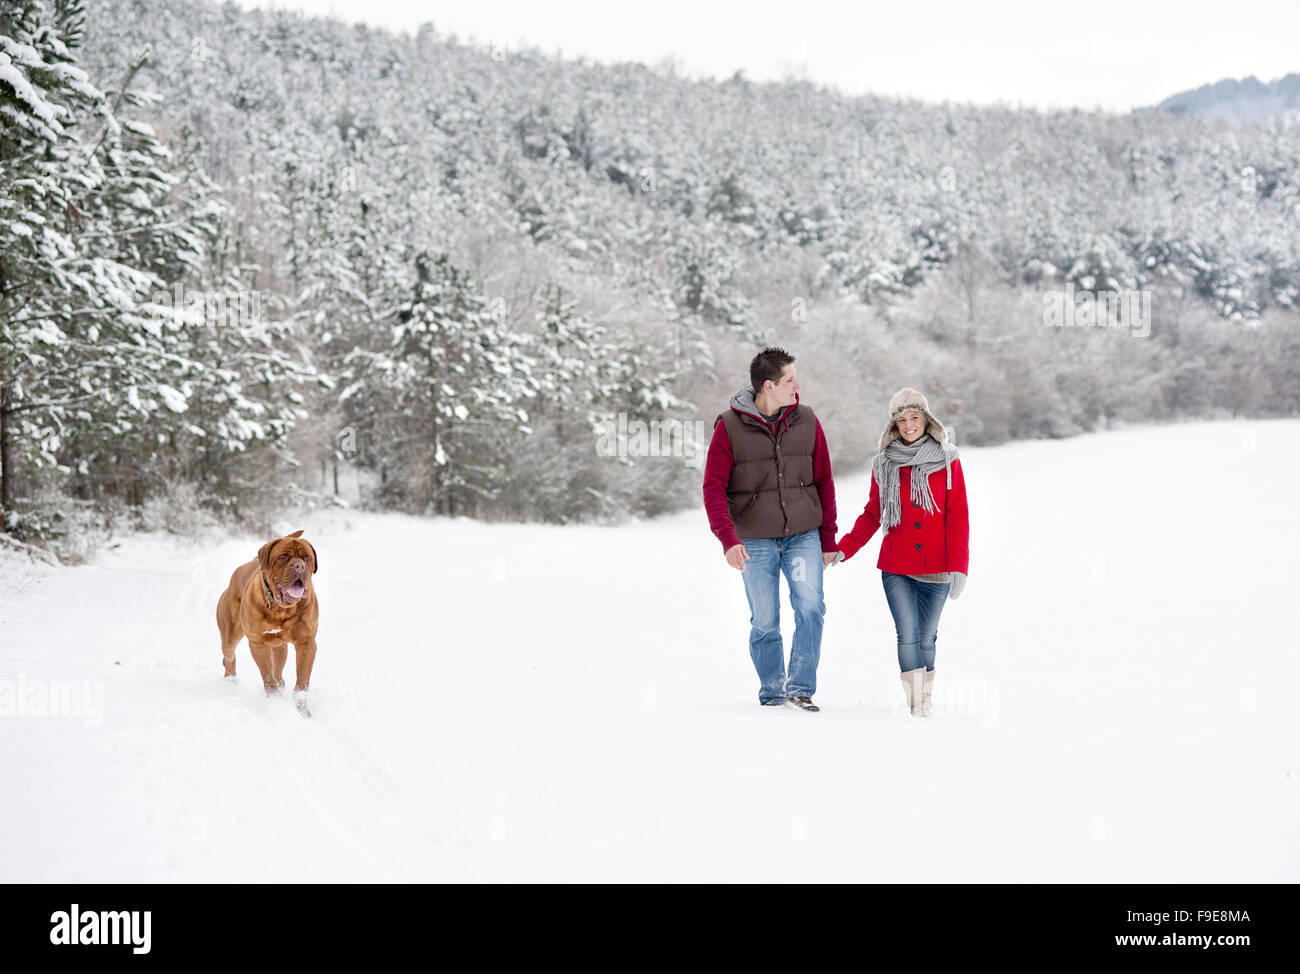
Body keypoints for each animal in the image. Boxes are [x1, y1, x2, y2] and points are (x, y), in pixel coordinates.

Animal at [217, 533, 321, 712]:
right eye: (283, 557)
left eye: (307, 558)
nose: (300, 566)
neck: (281, 609)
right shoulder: (258, 644)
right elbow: (267, 677)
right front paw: (275, 703)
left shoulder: (306, 644)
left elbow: (301, 684)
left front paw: (302, 711)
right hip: (230, 635)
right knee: (229, 657)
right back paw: (230, 682)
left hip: (279, 646)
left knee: (278, 670)